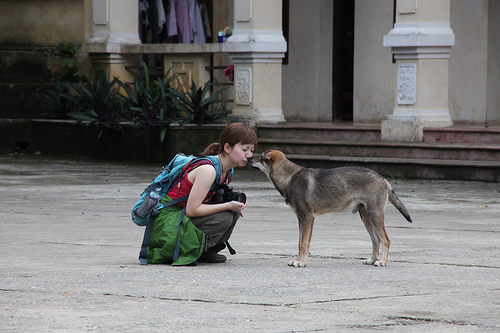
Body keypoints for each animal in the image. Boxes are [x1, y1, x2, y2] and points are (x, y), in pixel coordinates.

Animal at [248, 149, 412, 266]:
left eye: (261, 157)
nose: (248, 158)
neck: (289, 177)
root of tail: (382, 178)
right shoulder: (302, 219)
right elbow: (300, 243)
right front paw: (297, 260)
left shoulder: (307, 218)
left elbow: (304, 243)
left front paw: (301, 263)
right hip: (366, 218)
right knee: (376, 240)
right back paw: (372, 260)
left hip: (375, 215)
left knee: (385, 240)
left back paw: (382, 262)